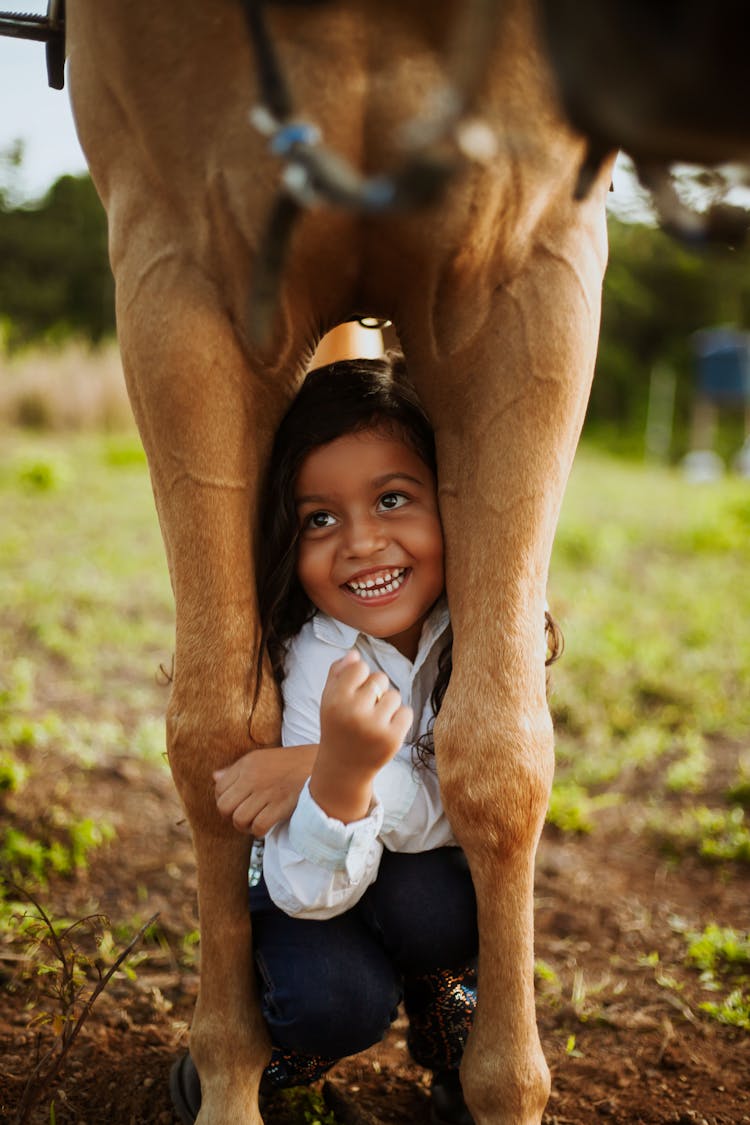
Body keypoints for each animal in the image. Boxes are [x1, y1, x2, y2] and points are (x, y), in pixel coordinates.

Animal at [66, 2, 611, 1125]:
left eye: (393, 501)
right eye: (320, 517)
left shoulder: (537, 269)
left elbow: (499, 754)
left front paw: (500, 1085)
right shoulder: (178, 275)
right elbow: (220, 730)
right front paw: (230, 1074)